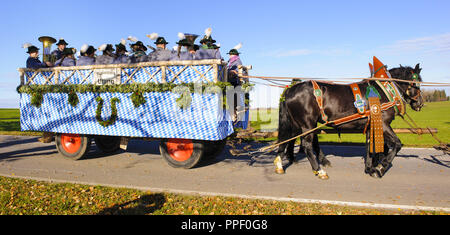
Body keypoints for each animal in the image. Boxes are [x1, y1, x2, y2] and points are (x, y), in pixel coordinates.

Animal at [274, 63, 426, 179]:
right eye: (416, 83)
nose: (420, 103)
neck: (381, 91)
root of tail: (290, 90)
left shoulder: (371, 126)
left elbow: (370, 147)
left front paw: (370, 168)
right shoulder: (383, 124)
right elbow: (397, 144)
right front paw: (380, 167)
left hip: (297, 123)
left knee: (287, 139)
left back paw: (281, 163)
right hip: (307, 124)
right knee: (306, 145)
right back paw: (319, 170)